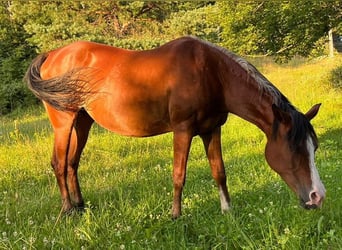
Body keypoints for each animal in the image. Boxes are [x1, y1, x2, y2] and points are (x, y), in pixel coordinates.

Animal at [24, 36, 326, 218]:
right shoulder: (183, 130)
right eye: (294, 149)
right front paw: (176, 215)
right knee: (59, 163)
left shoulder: (211, 129)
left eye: (314, 147)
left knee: (72, 162)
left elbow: (219, 172)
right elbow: (179, 175)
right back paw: (67, 210)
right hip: (64, 122)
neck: (212, 74)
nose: (318, 196)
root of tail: (53, 54)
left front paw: (227, 210)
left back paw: (80, 205)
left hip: (83, 122)